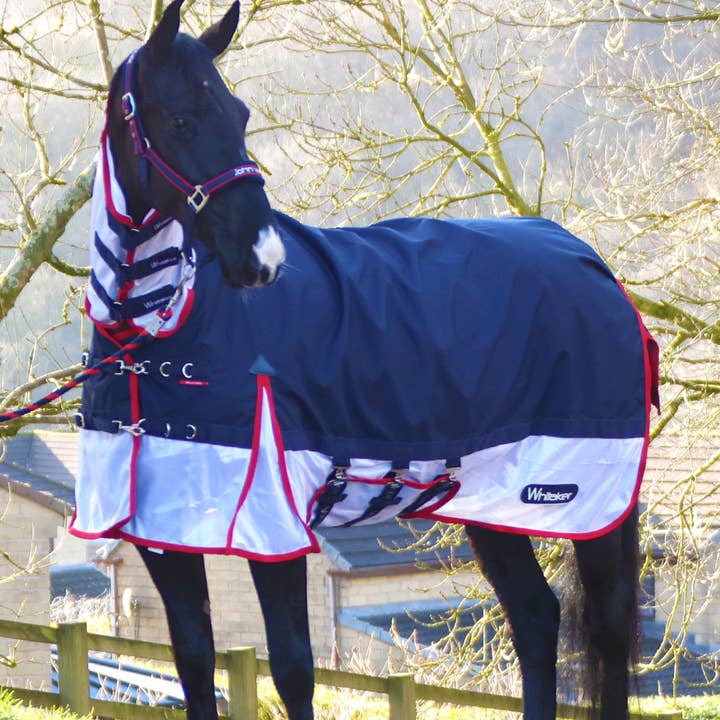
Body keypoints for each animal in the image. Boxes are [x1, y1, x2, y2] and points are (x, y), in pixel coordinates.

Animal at [70, 2, 660, 719]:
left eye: (239, 114)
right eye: (181, 117)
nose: (262, 257)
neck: (160, 324)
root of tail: (595, 268)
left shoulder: (274, 524)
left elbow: (294, 667)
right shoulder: (164, 534)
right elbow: (194, 661)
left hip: (589, 501)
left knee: (605, 628)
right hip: (490, 503)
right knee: (535, 616)